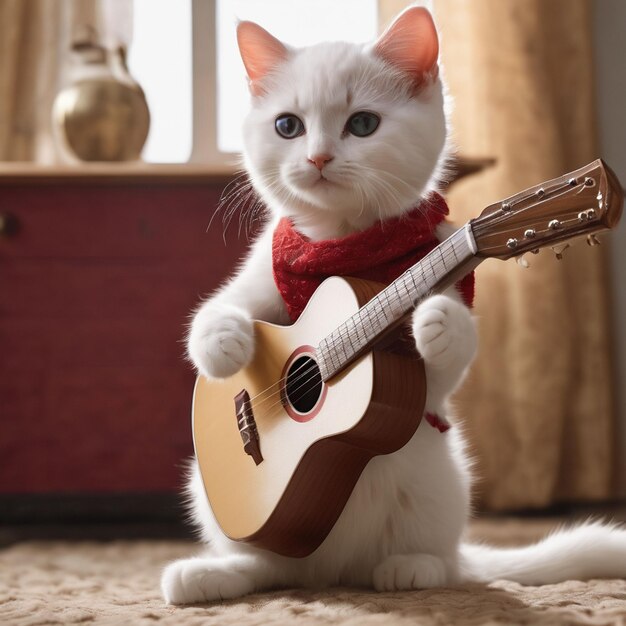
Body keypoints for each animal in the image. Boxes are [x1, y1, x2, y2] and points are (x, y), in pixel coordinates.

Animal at [162, 4, 624, 600]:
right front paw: (225, 344)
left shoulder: (435, 328)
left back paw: (411, 568)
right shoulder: (259, 272)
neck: (343, 243)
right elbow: (213, 312)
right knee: (273, 567)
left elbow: (443, 372)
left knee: (441, 563)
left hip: (439, 482)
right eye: (288, 126)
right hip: (207, 489)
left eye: (363, 124)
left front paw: (440, 323)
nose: (317, 157)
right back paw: (212, 574)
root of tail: (332, 573)